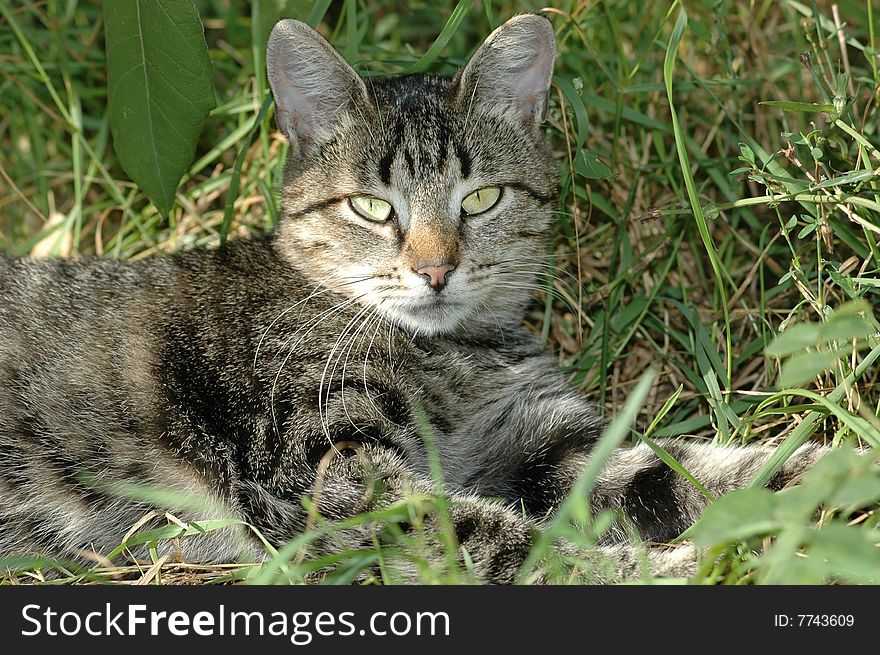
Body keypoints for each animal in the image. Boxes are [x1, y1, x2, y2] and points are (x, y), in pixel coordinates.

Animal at [0, 14, 824, 584]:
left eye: (482, 198)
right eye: (371, 207)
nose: (434, 270)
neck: (450, 356)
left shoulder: (539, 444)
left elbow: (691, 474)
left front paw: (829, 481)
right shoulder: (324, 470)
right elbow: (503, 541)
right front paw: (669, 569)